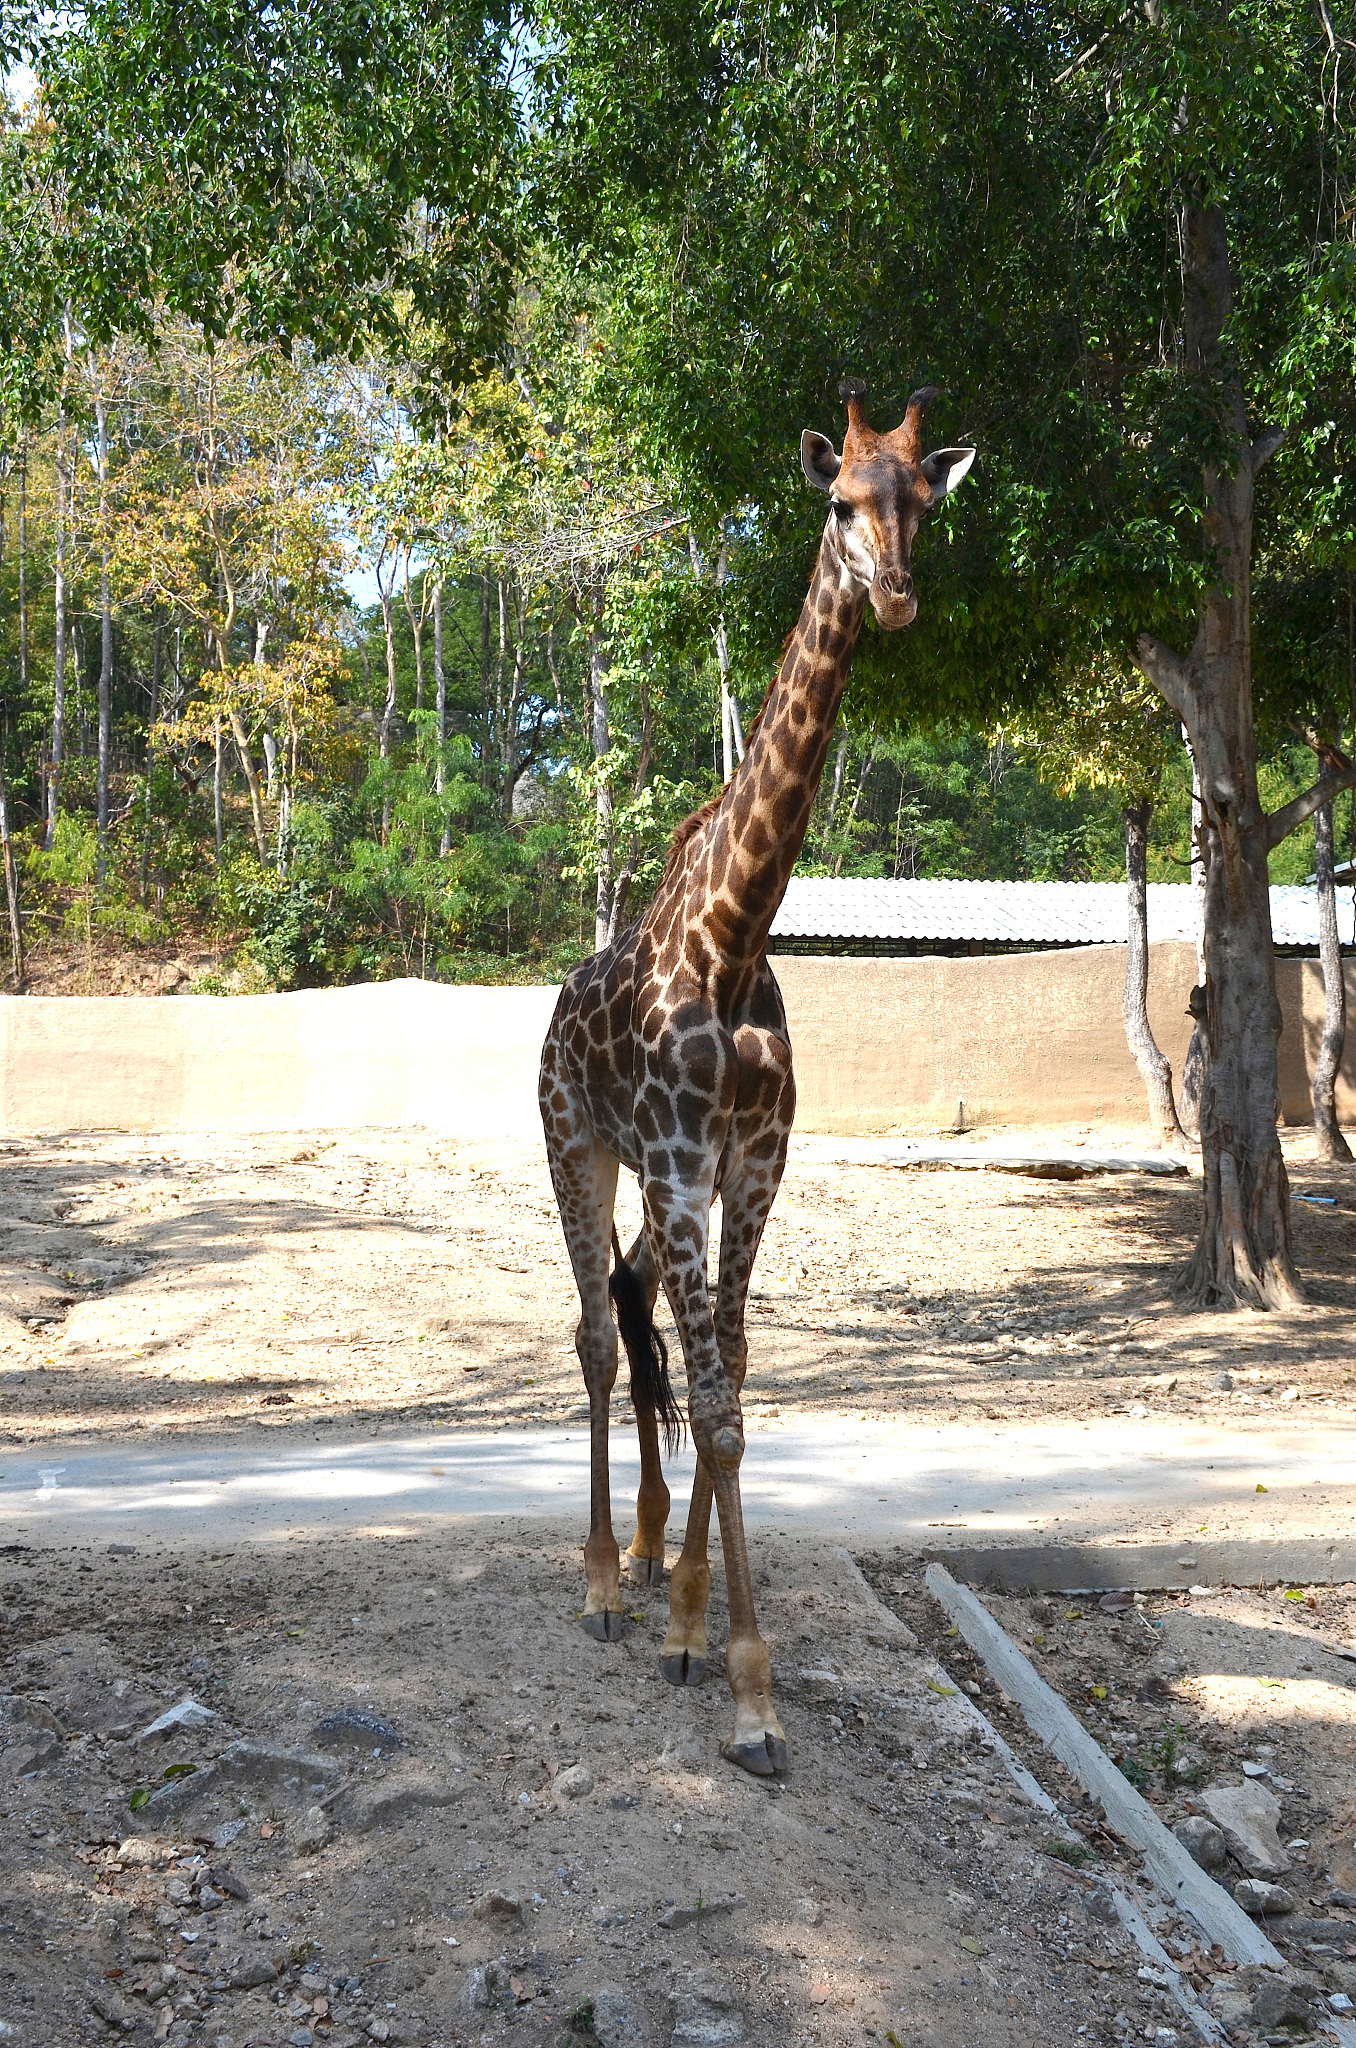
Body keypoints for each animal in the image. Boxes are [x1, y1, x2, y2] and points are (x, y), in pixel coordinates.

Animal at [539, 379, 975, 1775]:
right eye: (838, 500)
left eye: (926, 501)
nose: (894, 593)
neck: (733, 940)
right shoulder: (682, 1163)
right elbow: (717, 1400)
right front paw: (741, 1685)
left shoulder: (754, 1164)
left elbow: (731, 1374)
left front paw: (702, 1627)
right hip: (575, 1144)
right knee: (597, 1333)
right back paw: (600, 1581)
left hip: (646, 1175)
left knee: (640, 1313)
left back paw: (641, 1558)